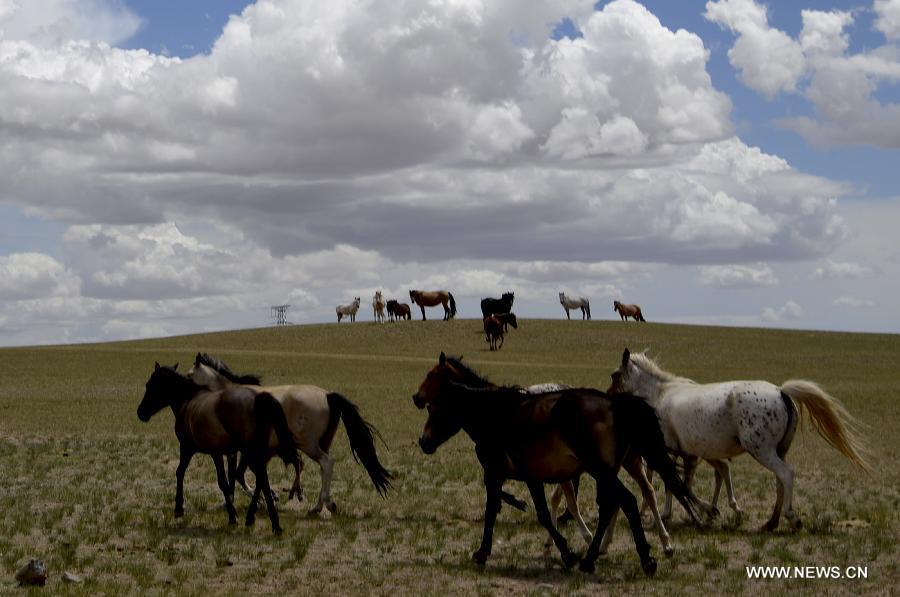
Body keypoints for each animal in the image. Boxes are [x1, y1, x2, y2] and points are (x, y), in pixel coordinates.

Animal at [137, 360, 298, 532]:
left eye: (150, 384)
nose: (140, 412)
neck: (188, 401)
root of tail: (258, 398)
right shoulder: (229, 453)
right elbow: (229, 480)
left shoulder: (194, 449)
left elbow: (189, 474)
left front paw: (180, 508)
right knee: (262, 480)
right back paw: (269, 521)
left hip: (250, 451)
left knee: (261, 478)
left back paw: (263, 519)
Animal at [414, 352, 704, 576]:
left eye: (433, 407)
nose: (423, 441)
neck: (495, 413)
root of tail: (614, 404)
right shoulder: (529, 477)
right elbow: (538, 512)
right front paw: (565, 551)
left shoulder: (495, 474)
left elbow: (497, 511)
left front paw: (483, 552)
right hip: (609, 470)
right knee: (614, 504)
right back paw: (592, 557)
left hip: (602, 470)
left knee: (628, 500)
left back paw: (645, 558)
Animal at [604, 350, 872, 532]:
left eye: (614, 375)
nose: (607, 398)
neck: (660, 395)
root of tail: (781, 392)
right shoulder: (687, 454)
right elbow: (682, 483)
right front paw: (690, 513)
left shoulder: (668, 452)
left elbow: (675, 483)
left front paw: (697, 511)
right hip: (778, 451)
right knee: (779, 481)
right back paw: (770, 522)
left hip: (762, 451)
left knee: (786, 475)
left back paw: (791, 518)